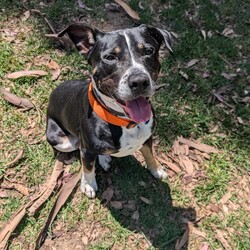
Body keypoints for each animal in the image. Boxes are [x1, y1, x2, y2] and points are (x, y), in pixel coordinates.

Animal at [45, 23, 172, 199]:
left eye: (148, 51)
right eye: (110, 57)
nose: (139, 81)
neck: (126, 122)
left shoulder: (148, 138)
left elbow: (149, 154)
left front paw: (156, 170)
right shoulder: (86, 150)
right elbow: (88, 167)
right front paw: (88, 184)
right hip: (62, 141)